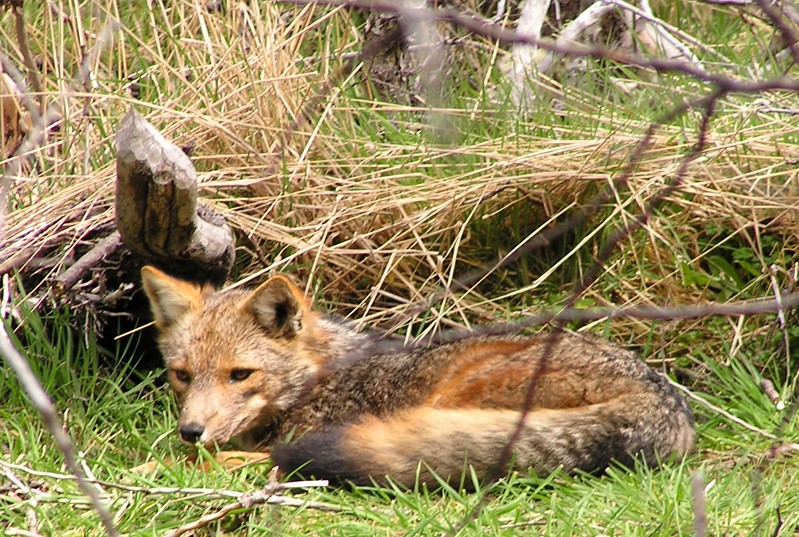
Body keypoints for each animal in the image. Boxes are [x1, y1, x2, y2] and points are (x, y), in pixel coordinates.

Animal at [141, 264, 696, 486]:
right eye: (182, 375)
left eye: (240, 374)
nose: (190, 431)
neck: (318, 379)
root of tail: (666, 399)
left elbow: (217, 460)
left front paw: (150, 466)